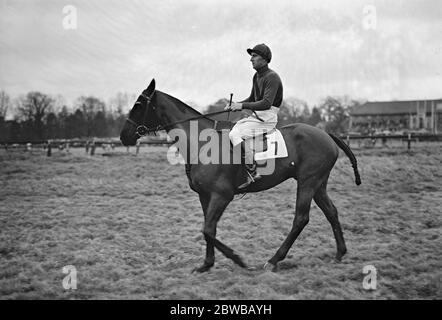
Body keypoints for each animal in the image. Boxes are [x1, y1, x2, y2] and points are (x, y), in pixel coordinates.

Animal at [119, 80, 360, 272]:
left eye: (138, 105)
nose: (124, 136)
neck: (202, 142)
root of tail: (325, 133)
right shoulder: (205, 196)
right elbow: (208, 229)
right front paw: (206, 264)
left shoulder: (222, 195)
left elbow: (207, 229)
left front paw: (238, 260)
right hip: (318, 184)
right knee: (331, 212)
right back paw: (340, 253)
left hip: (308, 182)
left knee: (301, 218)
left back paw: (273, 260)